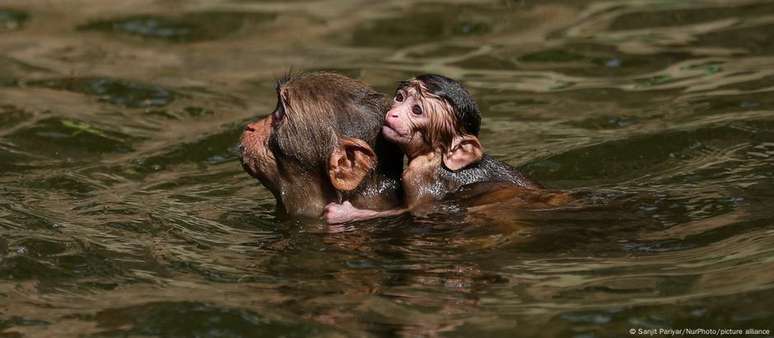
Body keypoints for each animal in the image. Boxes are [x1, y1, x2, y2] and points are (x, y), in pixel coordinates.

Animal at [324, 72, 568, 223]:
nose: (393, 114)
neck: (436, 156)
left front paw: (345, 213)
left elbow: (413, 209)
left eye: (416, 110)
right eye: (399, 98)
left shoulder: (419, 175)